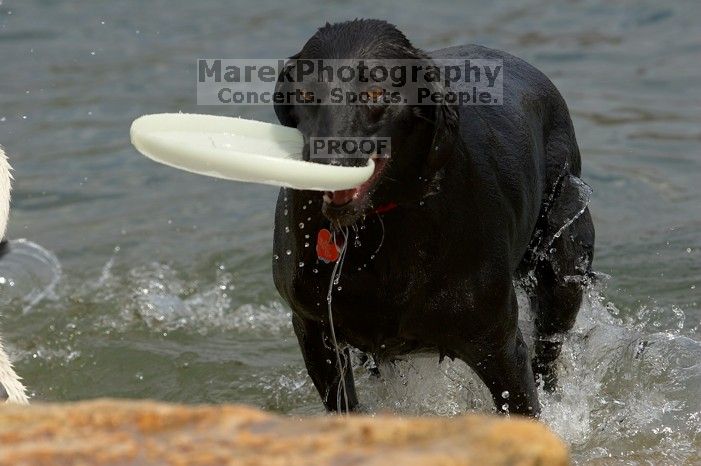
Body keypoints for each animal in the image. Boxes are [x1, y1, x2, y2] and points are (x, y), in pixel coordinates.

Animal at [270, 20, 592, 416]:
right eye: (306, 93)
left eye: (376, 92)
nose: (324, 162)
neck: (377, 228)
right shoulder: (315, 332)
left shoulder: (498, 347)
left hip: (563, 267)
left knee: (549, 352)